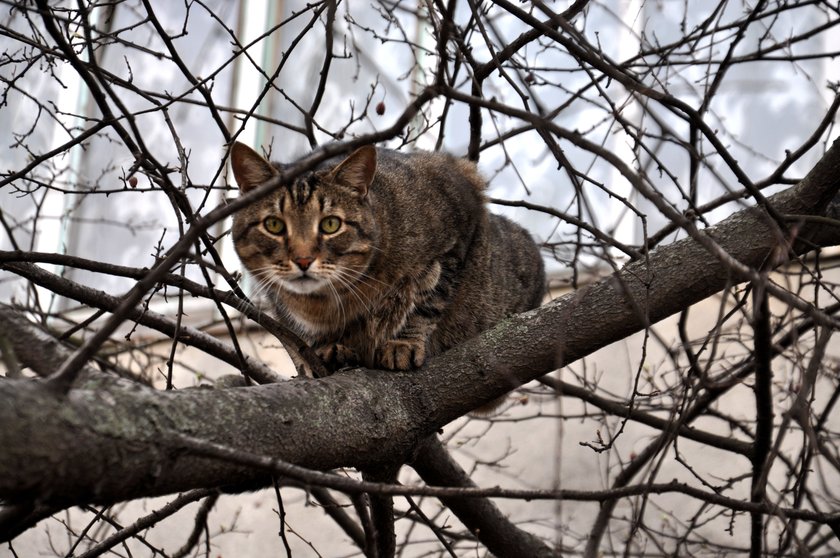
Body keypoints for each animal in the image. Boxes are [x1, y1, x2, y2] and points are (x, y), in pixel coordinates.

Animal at [230, 142, 544, 398]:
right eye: (274, 225)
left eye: (331, 224)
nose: (303, 259)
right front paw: (329, 346)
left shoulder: (457, 227)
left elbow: (427, 302)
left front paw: (401, 343)